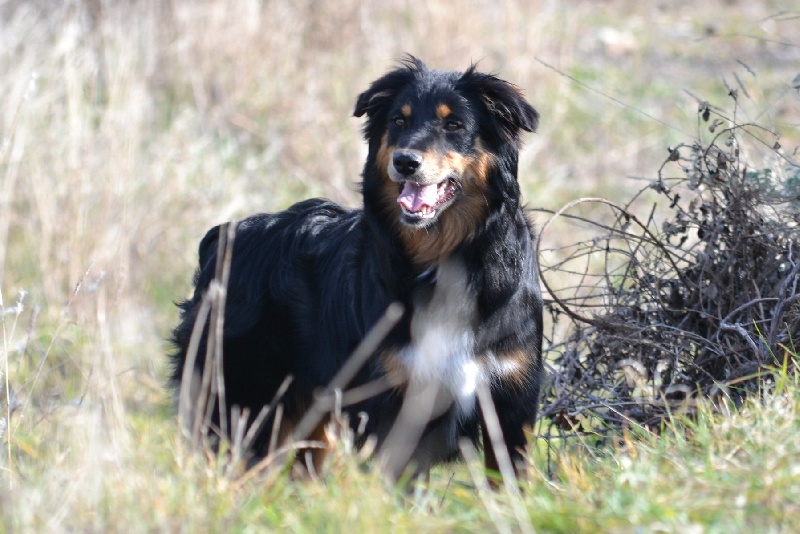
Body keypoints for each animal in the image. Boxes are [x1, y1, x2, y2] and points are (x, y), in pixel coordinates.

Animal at [169, 56, 544, 484]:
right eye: (398, 120)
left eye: (454, 124)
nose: (405, 162)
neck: (445, 259)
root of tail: (224, 236)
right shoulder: (399, 402)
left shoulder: (510, 403)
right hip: (243, 405)